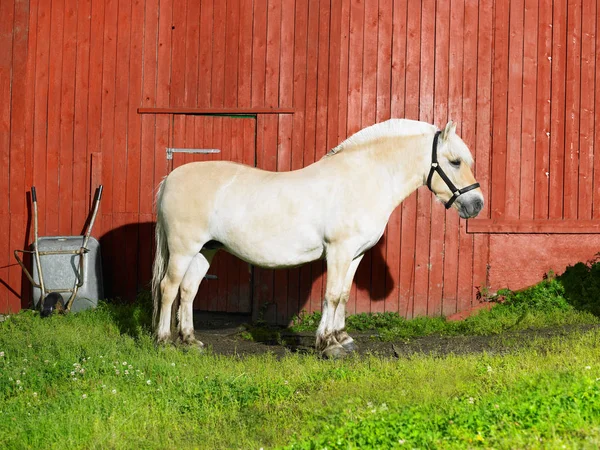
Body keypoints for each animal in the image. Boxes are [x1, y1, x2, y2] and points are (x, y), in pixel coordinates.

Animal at [152, 119, 486, 358]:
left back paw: (190, 341)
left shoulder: (355, 255)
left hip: (205, 250)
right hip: (183, 249)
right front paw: (328, 346)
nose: (476, 205)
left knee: (189, 290)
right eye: (455, 161)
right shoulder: (339, 251)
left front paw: (342, 338)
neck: (362, 179)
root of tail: (171, 177)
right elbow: (332, 295)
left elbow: (344, 295)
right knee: (169, 288)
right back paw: (164, 340)